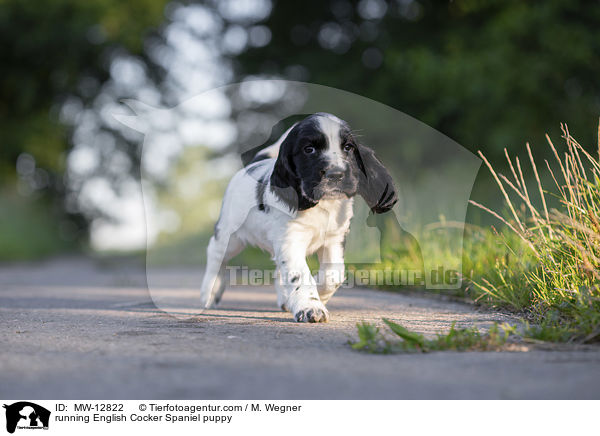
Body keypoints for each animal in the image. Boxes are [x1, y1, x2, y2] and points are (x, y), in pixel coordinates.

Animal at [202, 113, 398, 320]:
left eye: (348, 148)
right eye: (309, 150)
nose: (336, 174)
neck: (323, 204)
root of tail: (252, 164)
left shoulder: (334, 239)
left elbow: (334, 274)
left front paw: (318, 294)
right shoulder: (291, 240)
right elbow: (300, 274)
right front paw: (310, 307)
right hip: (231, 234)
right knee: (216, 253)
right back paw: (210, 293)